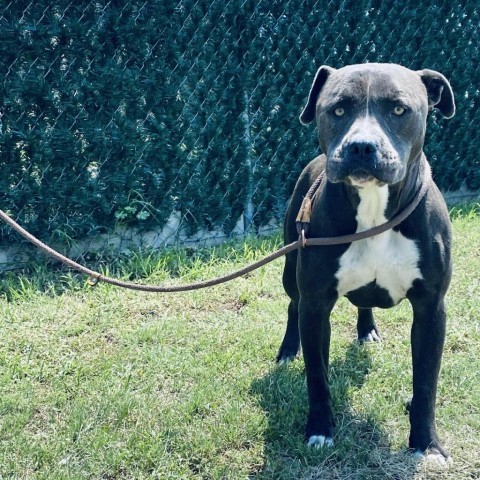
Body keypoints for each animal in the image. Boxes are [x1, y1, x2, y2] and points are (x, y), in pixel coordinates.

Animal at [278, 62, 454, 462]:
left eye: (400, 109)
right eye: (338, 109)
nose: (361, 146)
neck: (375, 208)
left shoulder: (431, 307)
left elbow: (426, 382)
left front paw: (426, 443)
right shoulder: (316, 304)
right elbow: (317, 375)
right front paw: (320, 429)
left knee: (364, 304)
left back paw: (366, 329)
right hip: (290, 270)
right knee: (293, 305)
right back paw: (287, 350)